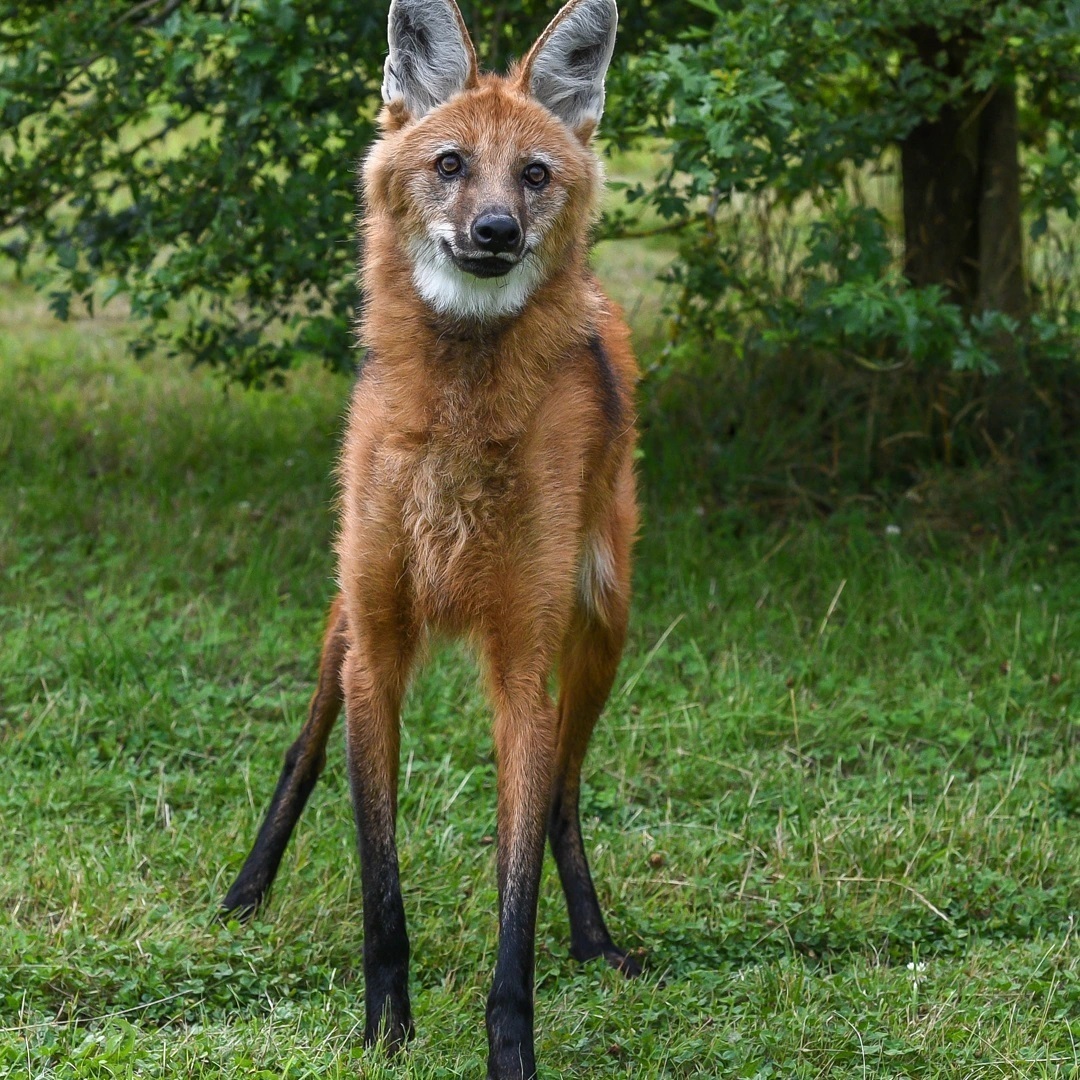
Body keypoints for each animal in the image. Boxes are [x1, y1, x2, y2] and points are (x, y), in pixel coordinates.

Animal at [222, 2, 635, 1071]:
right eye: (450, 163)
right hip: (345, 613)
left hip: (603, 620)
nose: (494, 231)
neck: (456, 418)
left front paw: (510, 1050)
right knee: (304, 745)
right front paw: (385, 1032)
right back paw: (245, 891)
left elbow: (515, 895)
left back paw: (595, 939)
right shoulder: (378, 643)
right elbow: (381, 887)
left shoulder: (523, 663)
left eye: (533, 174)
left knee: (565, 788)